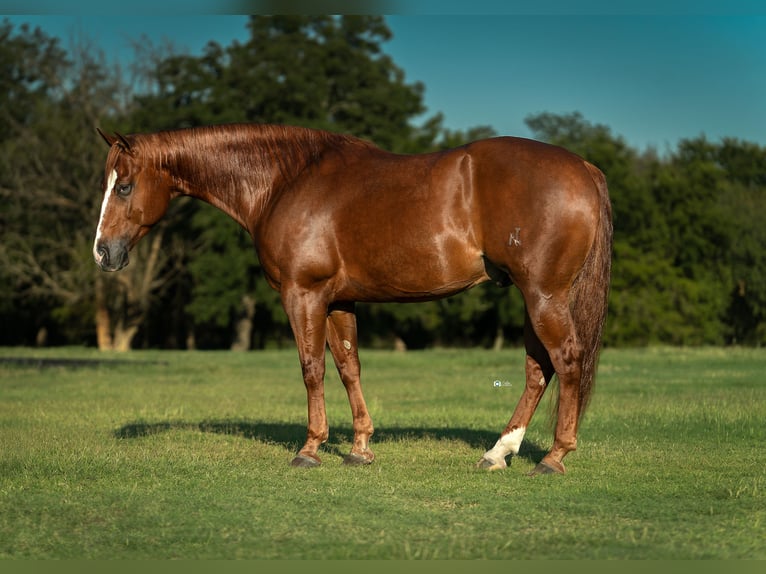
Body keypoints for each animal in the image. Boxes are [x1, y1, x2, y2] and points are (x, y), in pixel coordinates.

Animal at [93, 123, 612, 475]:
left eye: (124, 185)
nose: (102, 252)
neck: (286, 181)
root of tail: (583, 167)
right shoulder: (339, 301)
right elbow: (348, 366)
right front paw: (360, 448)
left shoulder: (303, 295)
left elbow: (312, 369)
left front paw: (310, 448)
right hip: (534, 297)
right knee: (538, 369)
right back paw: (498, 452)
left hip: (543, 295)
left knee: (566, 360)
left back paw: (554, 456)